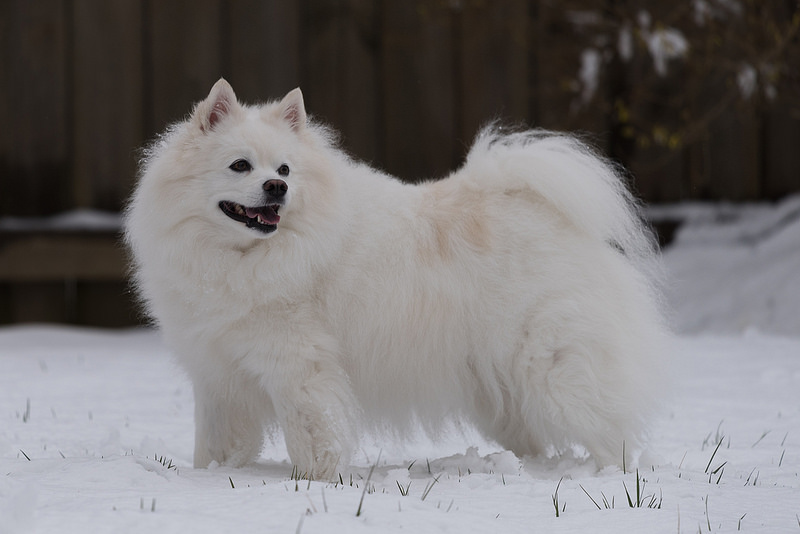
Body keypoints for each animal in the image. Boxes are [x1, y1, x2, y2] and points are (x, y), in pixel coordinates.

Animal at [125, 79, 664, 482]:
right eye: (240, 165)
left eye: (284, 169)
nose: (277, 187)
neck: (240, 257)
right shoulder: (218, 374)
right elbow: (216, 444)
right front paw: (213, 476)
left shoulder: (299, 367)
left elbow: (313, 433)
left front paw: (313, 483)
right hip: (501, 395)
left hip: (555, 369)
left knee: (608, 429)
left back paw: (608, 477)